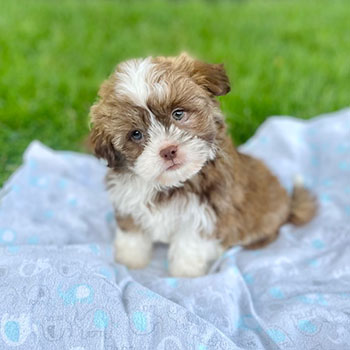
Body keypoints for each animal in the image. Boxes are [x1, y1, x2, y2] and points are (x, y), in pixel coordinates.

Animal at [88, 53, 318, 276]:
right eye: (136, 134)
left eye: (178, 113)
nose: (168, 150)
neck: (171, 184)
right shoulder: (127, 201)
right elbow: (132, 234)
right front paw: (130, 262)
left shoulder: (207, 213)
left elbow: (189, 245)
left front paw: (185, 274)